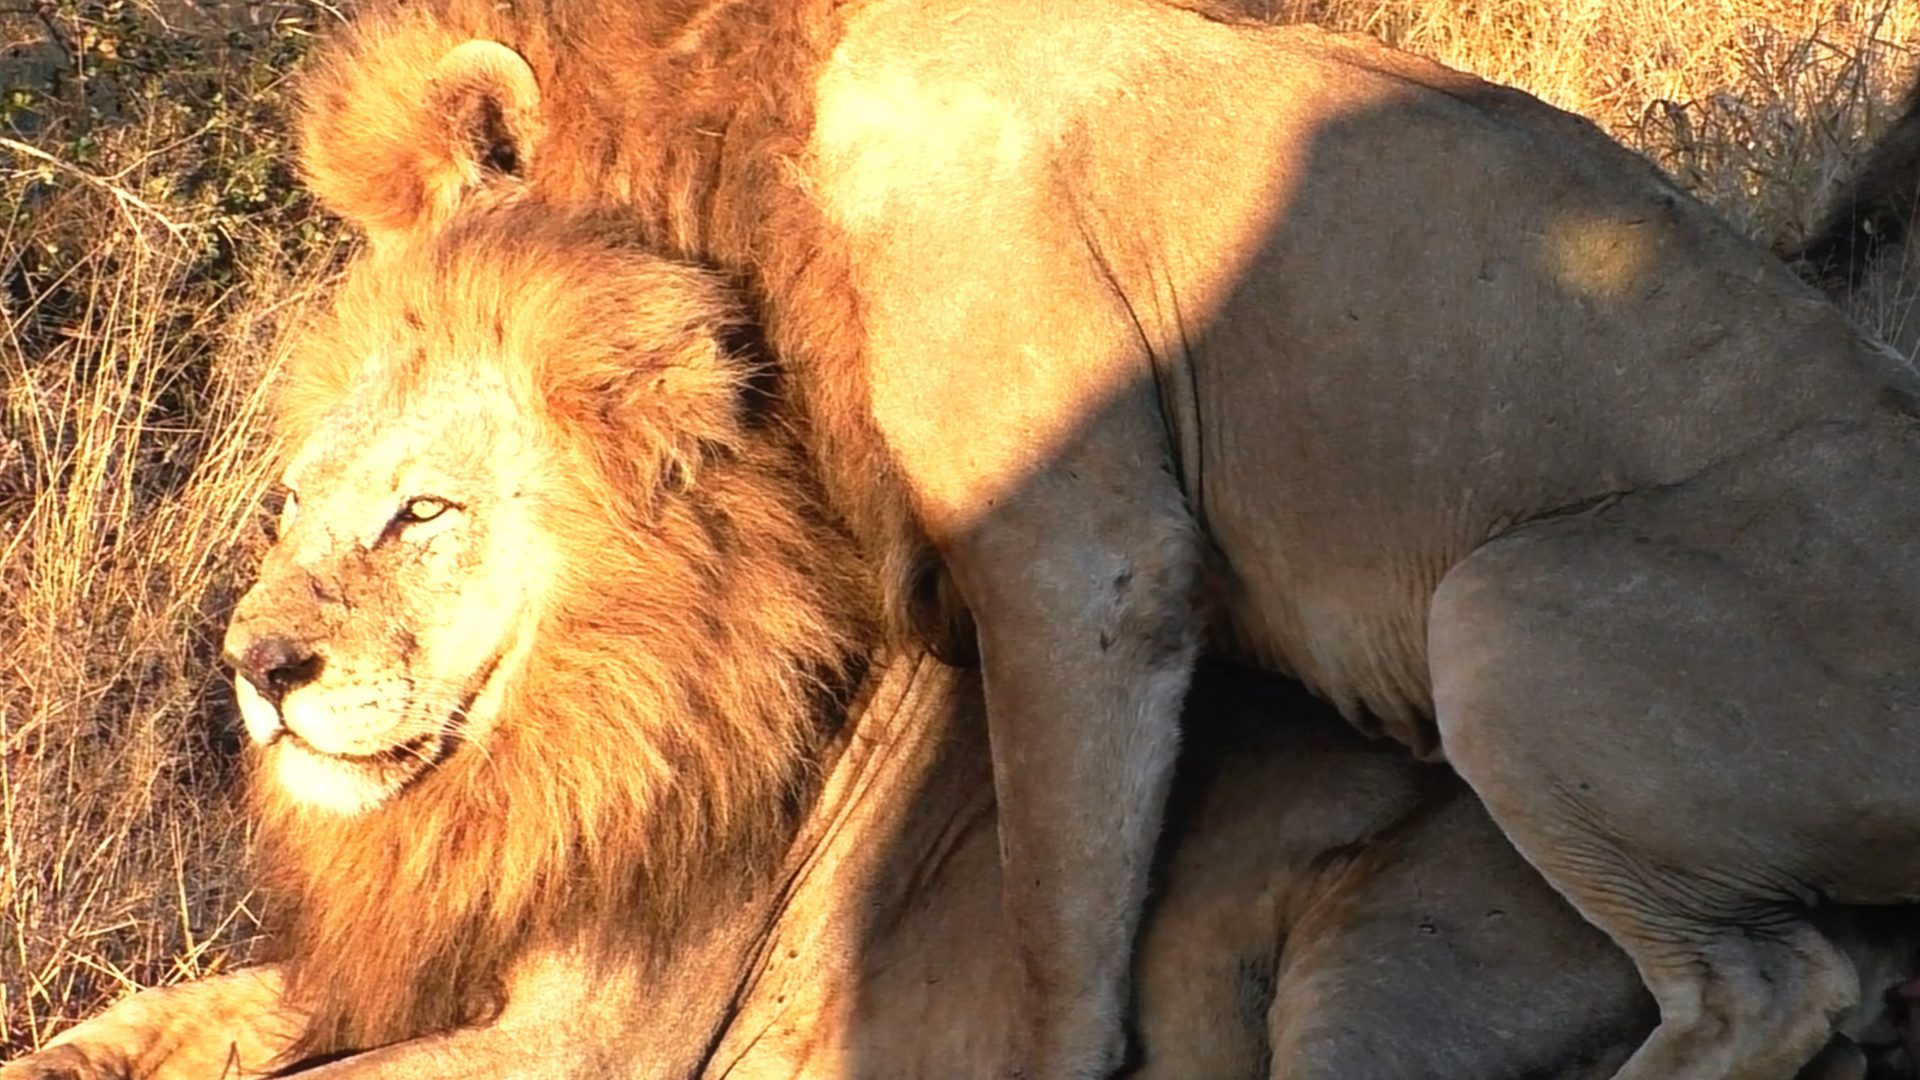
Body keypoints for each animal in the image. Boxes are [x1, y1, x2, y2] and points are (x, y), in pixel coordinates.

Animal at [280, 4, 1920, 1068]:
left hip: (1496, 619)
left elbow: (1056, 916)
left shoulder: (1086, 562)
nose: (266, 650)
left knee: (1767, 990)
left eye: (419, 290)